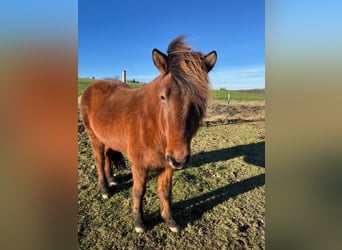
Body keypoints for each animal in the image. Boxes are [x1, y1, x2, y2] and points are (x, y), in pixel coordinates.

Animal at [80, 36, 216, 233]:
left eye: (200, 99)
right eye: (163, 96)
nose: (179, 159)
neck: (155, 126)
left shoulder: (167, 166)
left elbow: (165, 191)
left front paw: (169, 220)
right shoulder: (140, 165)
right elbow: (138, 191)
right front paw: (139, 222)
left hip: (108, 140)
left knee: (107, 157)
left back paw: (112, 179)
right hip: (95, 138)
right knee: (99, 160)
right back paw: (104, 189)